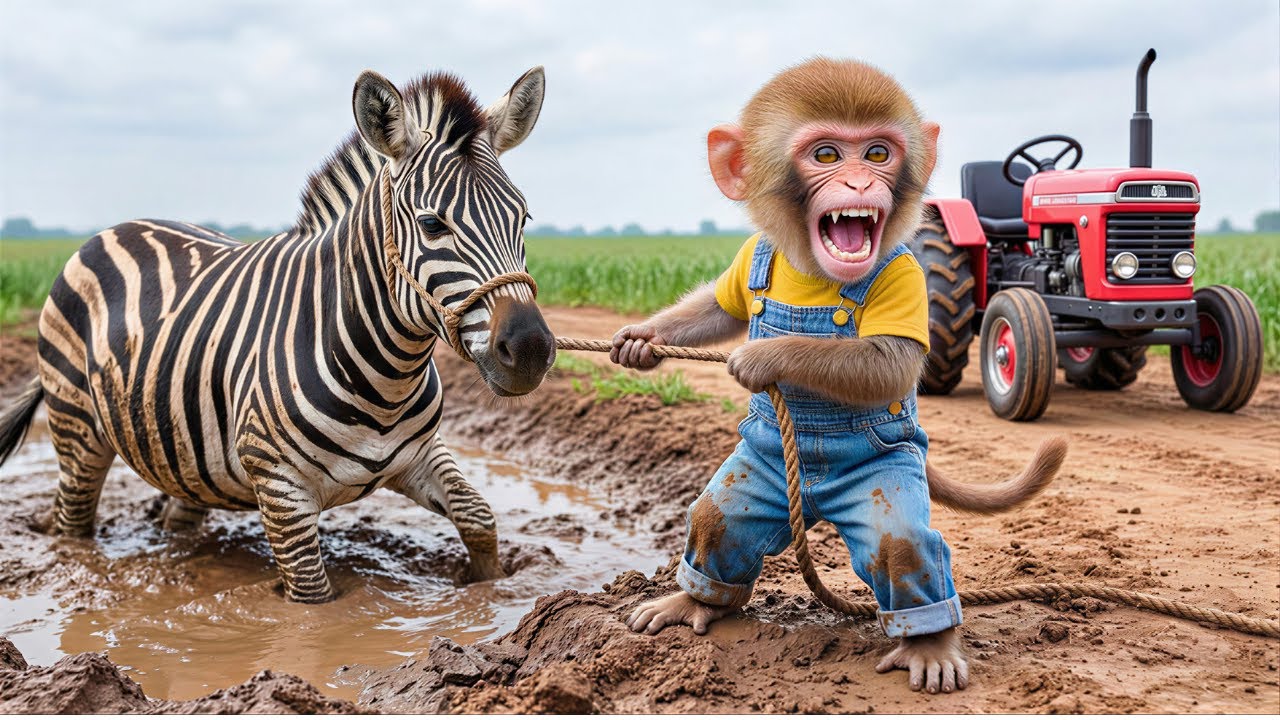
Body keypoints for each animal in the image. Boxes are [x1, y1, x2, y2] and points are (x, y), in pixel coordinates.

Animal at [0, 67, 556, 602]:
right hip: (77, 428)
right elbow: (313, 603)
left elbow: (478, 518)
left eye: (523, 217)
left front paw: (489, 594)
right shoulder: (281, 493)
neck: (387, 378)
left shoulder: (420, 455)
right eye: (432, 224)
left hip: (185, 454)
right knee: (72, 522)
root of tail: (116, 228)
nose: (530, 349)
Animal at [610, 57, 1067, 695]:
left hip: (888, 473)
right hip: (762, 472)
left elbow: (892, 361)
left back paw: (930, 644)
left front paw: (763, 358)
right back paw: (696, 600)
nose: (858, 185)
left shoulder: (908, 276)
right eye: (826, 155)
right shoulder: (754, 255)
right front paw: (643, 339)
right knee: (717, 520)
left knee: (903, 546)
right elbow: (719, 308)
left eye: (877, 153)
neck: (811, 273)